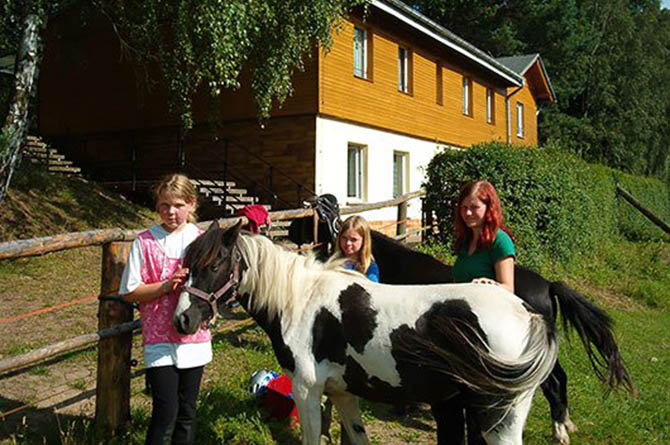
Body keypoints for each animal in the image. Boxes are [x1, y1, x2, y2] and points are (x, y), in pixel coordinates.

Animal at [175, 222, 560, 444]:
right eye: (187, 264)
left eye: (213, 264)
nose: (183, 320)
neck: (300, 300)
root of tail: (526, 314)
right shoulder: (343, 394)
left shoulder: (306, 391)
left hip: (500, 415)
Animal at [372, 231, 640, 442]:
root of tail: (548, 286)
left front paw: (404, 406)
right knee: (560, 378)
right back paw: (565, 422)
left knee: (552, 383)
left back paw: (559, 430)